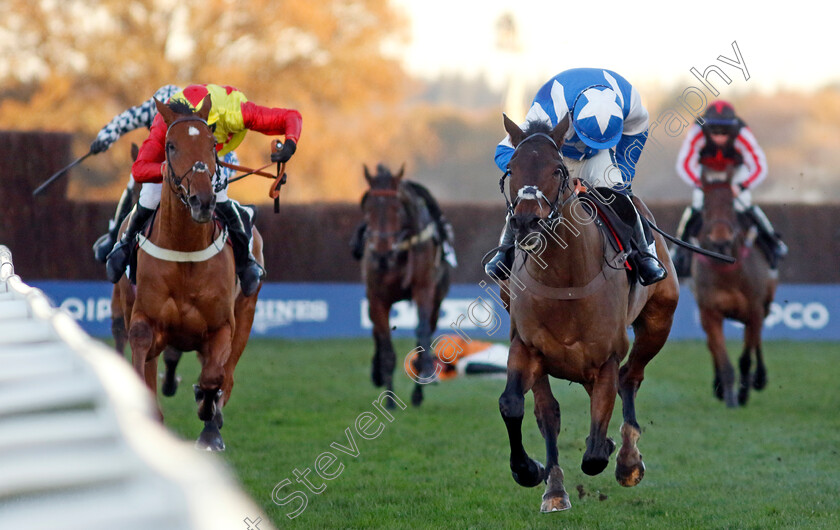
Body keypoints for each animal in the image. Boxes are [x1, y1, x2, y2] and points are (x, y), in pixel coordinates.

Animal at [118, 93, 262, 448]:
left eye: (212, 144)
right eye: (170, 145)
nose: (202, 200)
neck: (184, 250)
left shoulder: (223, 326)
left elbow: (214, 376)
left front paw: (208, 421)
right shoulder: (143, 318)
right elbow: (141, 353)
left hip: (247, 312)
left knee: (228, 374)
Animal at [360, 164, 452, 404]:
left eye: (396, 208)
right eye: (368, 207)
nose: (382, 254)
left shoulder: (424, 289)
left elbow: (422, 332)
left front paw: (425, 374)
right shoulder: (377, 297)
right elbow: (385, 344)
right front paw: (389, 399)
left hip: (438, 299)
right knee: (376, 332)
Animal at [496, 113, 680, 510]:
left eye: (556, 169)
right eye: (512, 168)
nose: (526, 222)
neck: (565, 281)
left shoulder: (606, 357)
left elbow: (596, 449)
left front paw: (614, 451)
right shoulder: (526, 346)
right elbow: (515, 406)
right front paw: (530, 471)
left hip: (658, 323)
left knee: (631, 377)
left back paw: (628, 460)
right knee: (549, 412)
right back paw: (555, 487)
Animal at [692, 164, 776, 404]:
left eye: (730, 203)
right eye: (706, 205)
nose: (721, 240)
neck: (727, 272)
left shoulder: (755, 310)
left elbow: (747, 355)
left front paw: (744, 391)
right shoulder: (709, 312)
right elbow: (721, 355)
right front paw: (728, 394)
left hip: (765, 304)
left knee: (757, 339)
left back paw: (759, 378)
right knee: (712, 345)